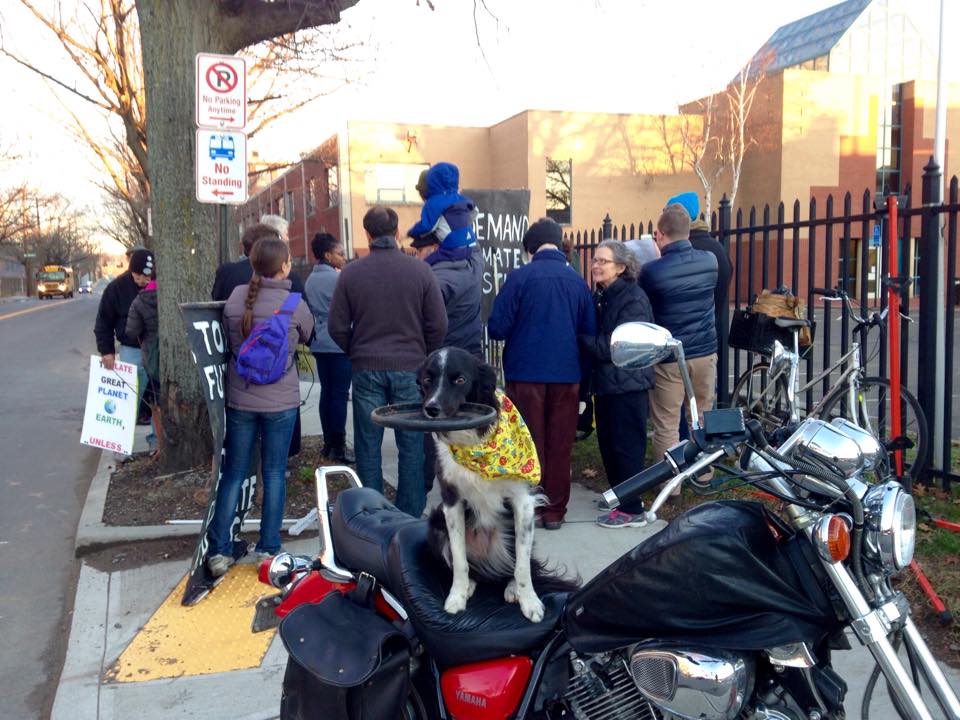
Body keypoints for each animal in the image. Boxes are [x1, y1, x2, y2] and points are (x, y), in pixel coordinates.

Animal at [418, 346, 568, 620]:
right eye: (427, 379)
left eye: (460, 380)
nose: (431, 408)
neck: (474, 444)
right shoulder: (451, 501)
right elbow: (459, 559)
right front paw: (456, 596)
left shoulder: (523, 502)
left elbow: (522, 565)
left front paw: (529, 602)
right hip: (435, 525)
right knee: (468, 564)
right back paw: (471, 584)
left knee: (517, 563)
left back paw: (511, 588)